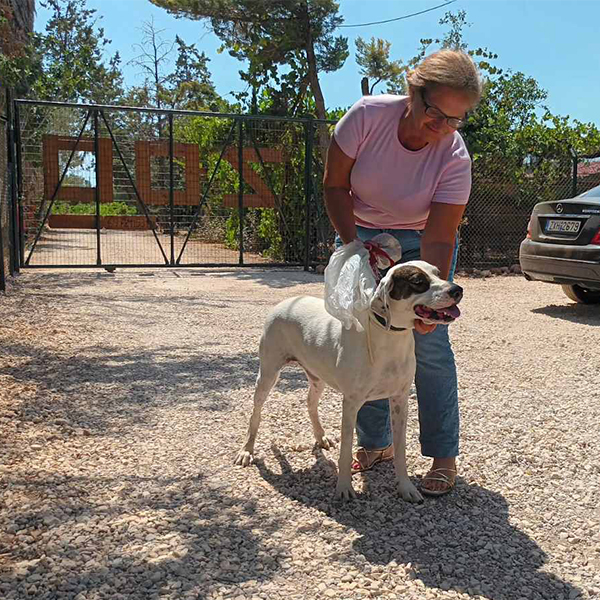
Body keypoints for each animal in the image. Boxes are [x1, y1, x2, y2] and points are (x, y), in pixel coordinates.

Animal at [235, 260, 463, 502]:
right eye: (418, 281)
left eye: (438, 273)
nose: (457, 290)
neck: (390, 338)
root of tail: (286, 302)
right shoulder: (351, 404)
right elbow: (345, 451)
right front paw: (344, 487)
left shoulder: (400, 401)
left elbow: (400, 452)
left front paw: (406, 487)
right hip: (268, 374)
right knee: (256, 414)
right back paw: (246, 451)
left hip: (317, 377)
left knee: (310, 403)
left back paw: (321, 436)